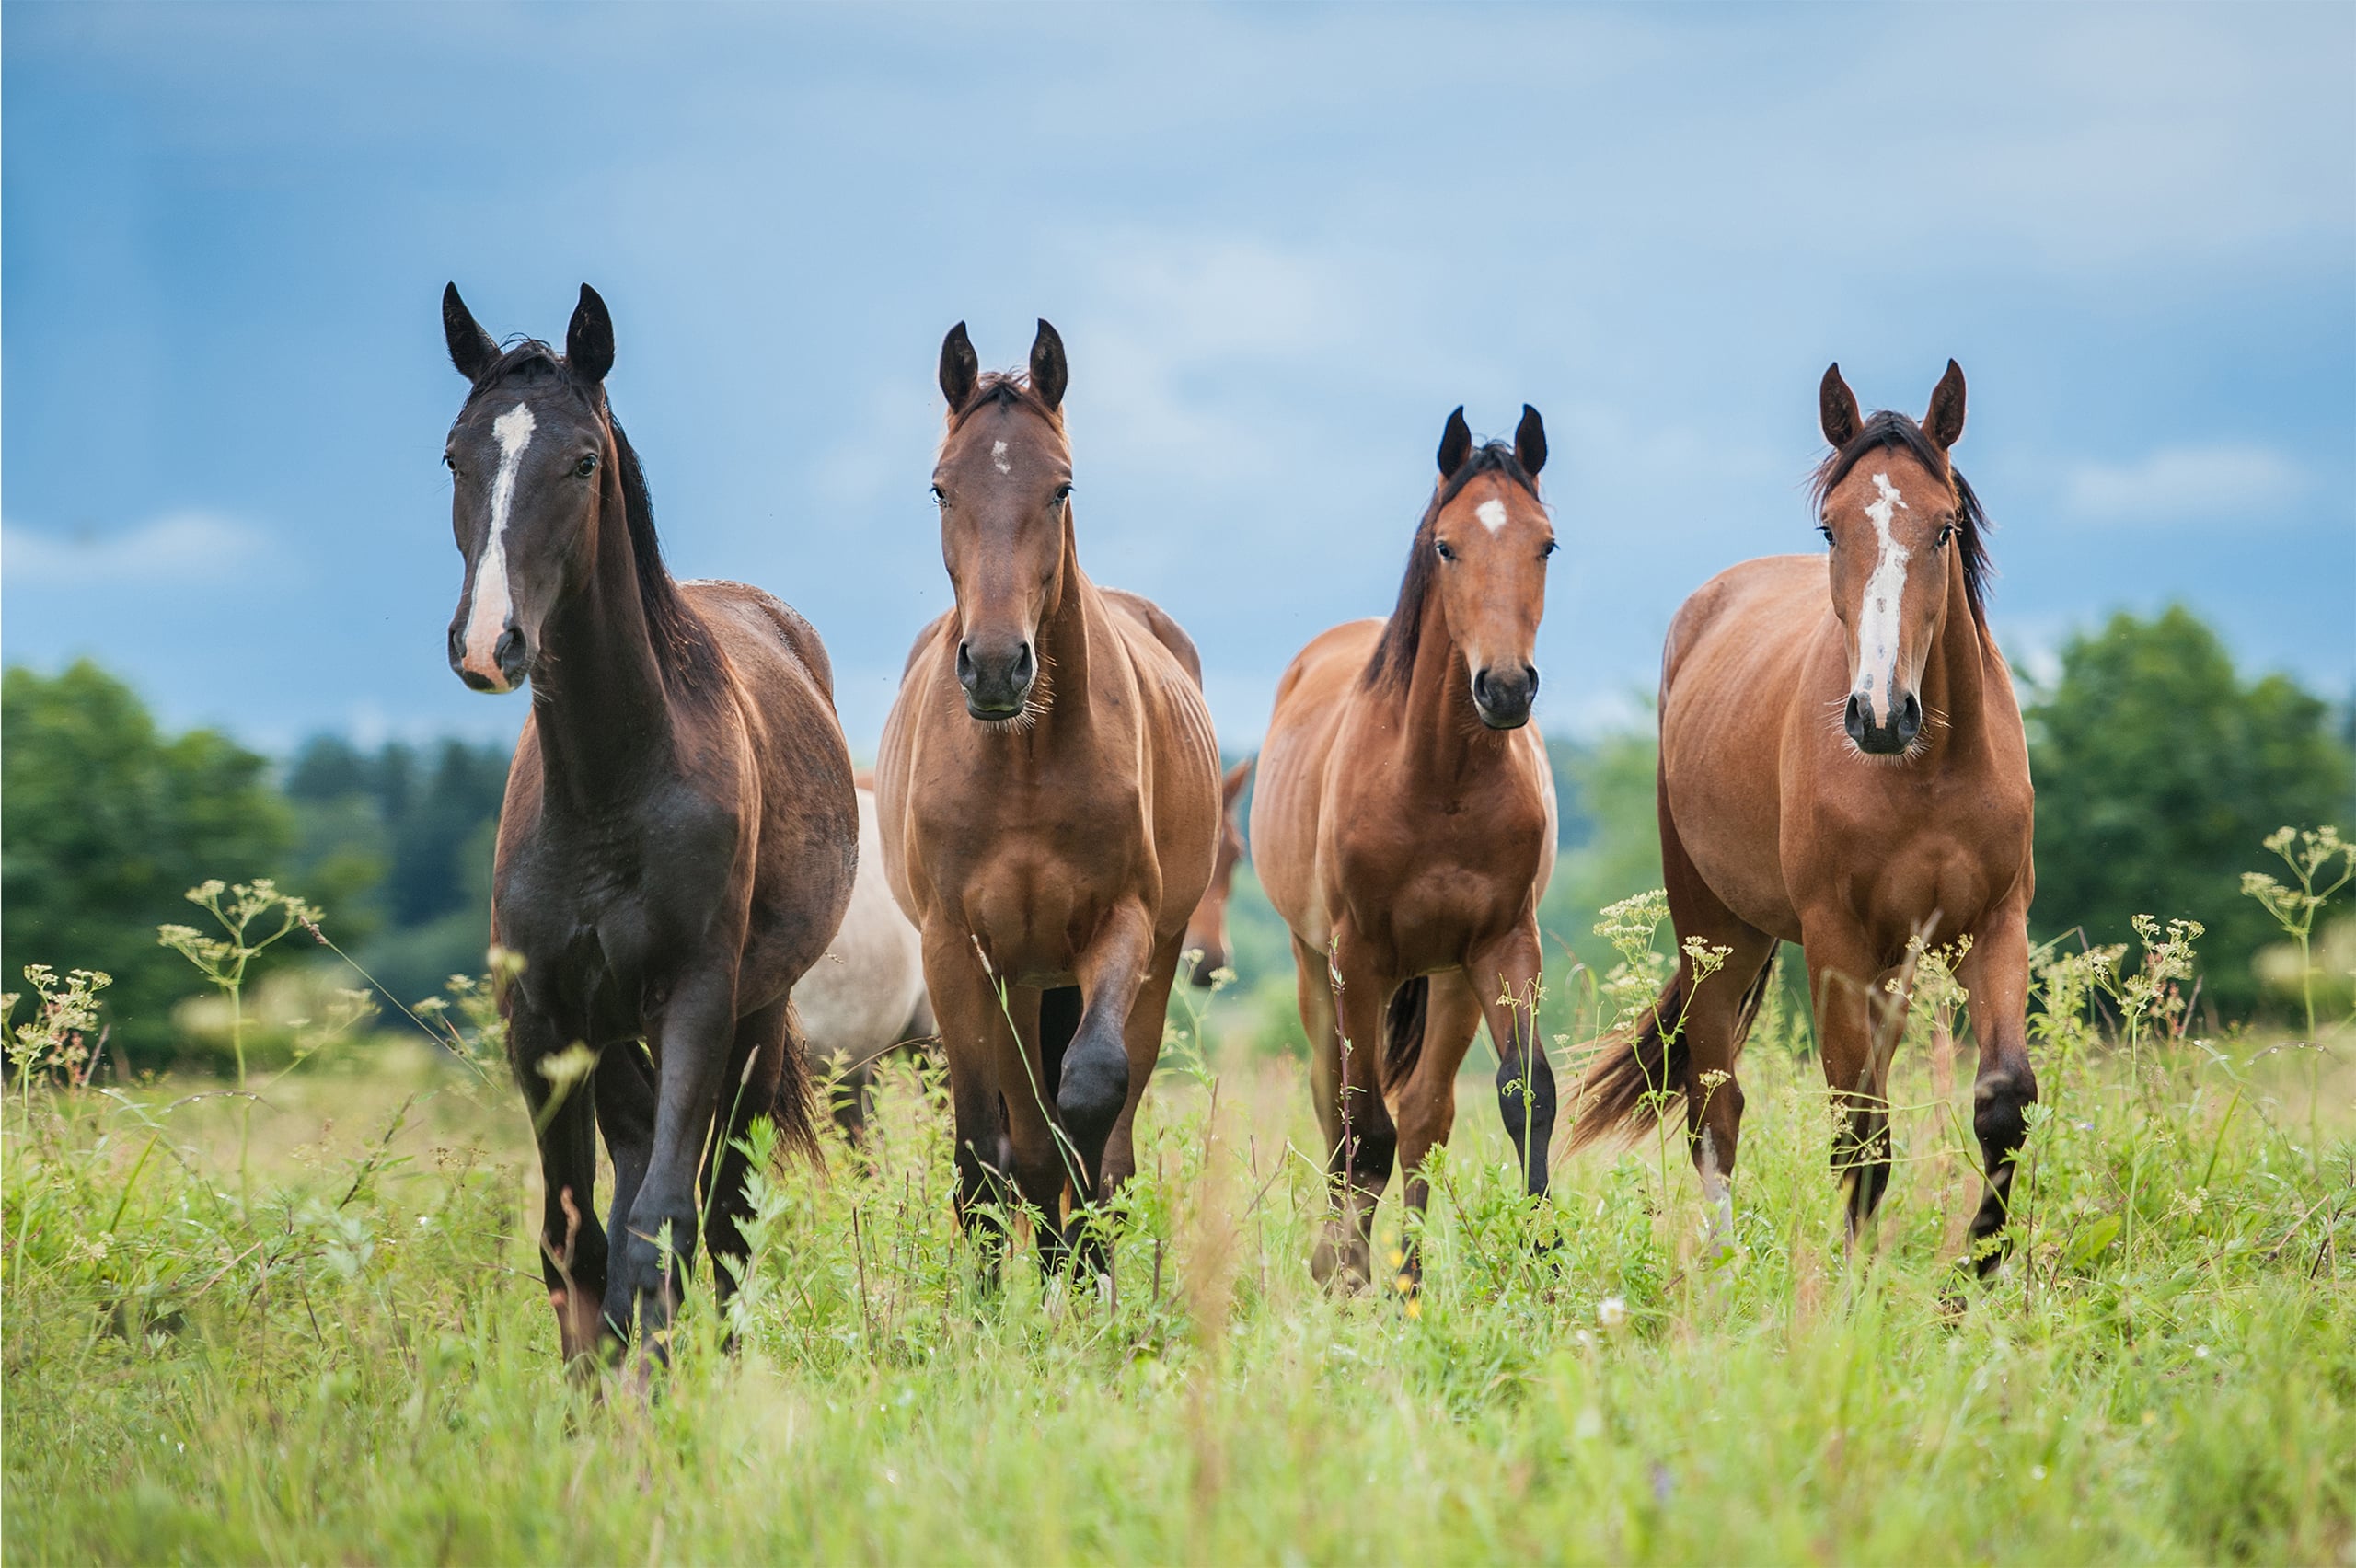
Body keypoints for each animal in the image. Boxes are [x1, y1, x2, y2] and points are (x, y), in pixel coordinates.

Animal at [439, 283, 856, 1363]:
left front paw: (656, 1385)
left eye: (584, 461)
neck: (608, 789)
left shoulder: (699, 1003)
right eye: (455, 455)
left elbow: (666, 1221)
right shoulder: (542, 1021)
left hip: (749, 1023)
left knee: (725, 1208)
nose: (490, 643)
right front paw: (599, 1387)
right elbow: (574, 1236)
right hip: (616, 1038)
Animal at [875, 319, 1221, 1282]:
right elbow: (983, 1152)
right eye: (940, 487)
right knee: (1018, 1142)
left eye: (1061, 487)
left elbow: (1091, 1108)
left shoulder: (1122, 925)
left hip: (1126, 966)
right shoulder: (956, 949)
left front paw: (1088, 1275)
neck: (1023, 764)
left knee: (1090, 1135)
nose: (996, 666)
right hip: (1016, 979)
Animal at [1252, 406, 1560, 1289]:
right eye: (1447, 545)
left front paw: (1545, 1268)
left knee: (1427, 1115)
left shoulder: (1506, 946)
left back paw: (1408, 1281)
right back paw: (1346, 1262)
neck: (1437, 779)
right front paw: (1344, 1273)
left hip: (1451, 979)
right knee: (1338, 1108)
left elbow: (1526, 1098)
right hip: (1314, 969)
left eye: (1546, 543)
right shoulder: (1356, 957)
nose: (1505, 687)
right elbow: (1363, 1127)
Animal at [1573, 361, 2036, 1276]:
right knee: (1715, 1107)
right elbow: (1859, 1131)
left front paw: (1976, 1274)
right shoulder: (1833, 939)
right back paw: (1724, 1265)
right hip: (1717, 932)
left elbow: (2004, 1104)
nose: (1881, 713)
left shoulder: (1998, 923)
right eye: (1831, 528)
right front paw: (1858, 1284)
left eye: (1944, 527)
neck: (1926, 771)